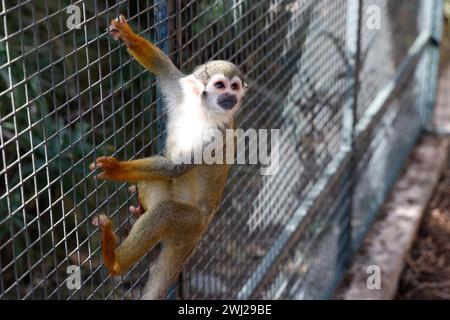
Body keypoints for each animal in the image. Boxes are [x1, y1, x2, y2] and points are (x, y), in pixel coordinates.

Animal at [91, 15, 246, 300]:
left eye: (235, 87)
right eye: (221, 86)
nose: (231, 96)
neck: (203, 111)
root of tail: (202, 228)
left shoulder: (217, 134)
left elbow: (175, 167)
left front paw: (116, 168)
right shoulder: (183, 93)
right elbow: (163, 70)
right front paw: (131, 37)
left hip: (190, 223)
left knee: (166, 212)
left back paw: (114, 262)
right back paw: (139, 211)